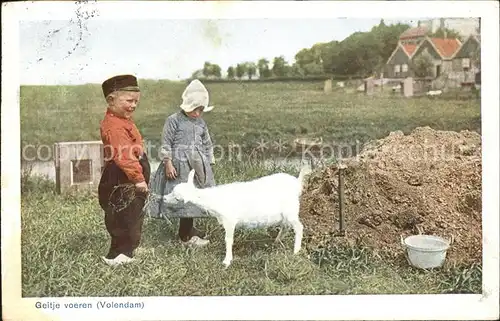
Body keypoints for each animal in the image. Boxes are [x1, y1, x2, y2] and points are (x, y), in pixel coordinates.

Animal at [164, 166, 310, 266]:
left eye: (177, 198)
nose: (164, 198)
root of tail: (297, 182)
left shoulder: (230, 220)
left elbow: (228, 240)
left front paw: (227, 261)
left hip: (291, 210)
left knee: (299, 227)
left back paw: (296, 251)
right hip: (285, 213)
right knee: (286, 226)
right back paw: (277, 241)